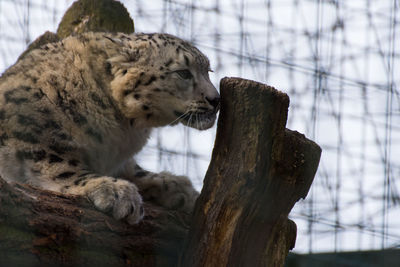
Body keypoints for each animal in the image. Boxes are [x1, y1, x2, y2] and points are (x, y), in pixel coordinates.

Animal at [0, 32, 219, 225]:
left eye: (208, 71)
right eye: (183, 73)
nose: (216, 99)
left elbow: (134, 169)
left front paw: (179, 189)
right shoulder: (34, 131)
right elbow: (62, 165)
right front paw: (116, 192)